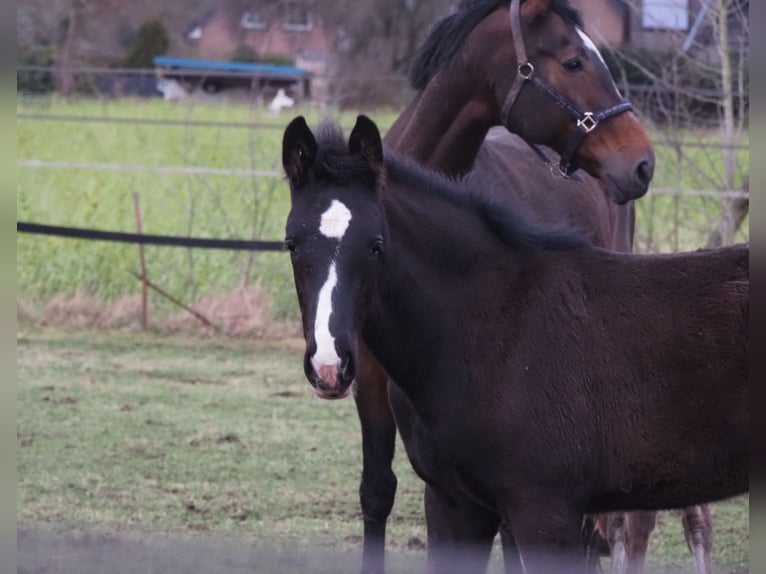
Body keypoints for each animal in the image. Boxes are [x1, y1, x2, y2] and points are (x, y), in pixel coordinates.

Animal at [282, 115, 752, 572]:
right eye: (291, 244)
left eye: (376, 245)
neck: (494, 328)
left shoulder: (545, 510)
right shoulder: (454, 504)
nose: (329, 367)